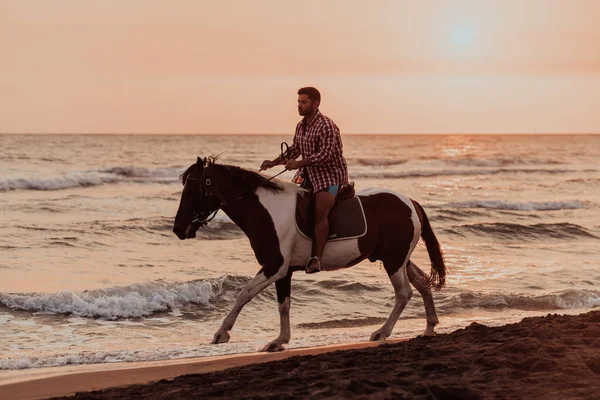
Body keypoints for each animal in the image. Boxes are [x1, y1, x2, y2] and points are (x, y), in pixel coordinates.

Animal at [172, 156, 446, 350]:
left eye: (191, 191)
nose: (177, 229)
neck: (266, 212)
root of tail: (410, 202)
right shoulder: (284, 272)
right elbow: (283, 305)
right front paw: (280, 340)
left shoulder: (274, 266)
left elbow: (244, 294)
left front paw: (222, 333)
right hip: (399, 259)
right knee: (422, 283)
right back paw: (430, 326)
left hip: (393, 260)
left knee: (403, 293)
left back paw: (382, 332)